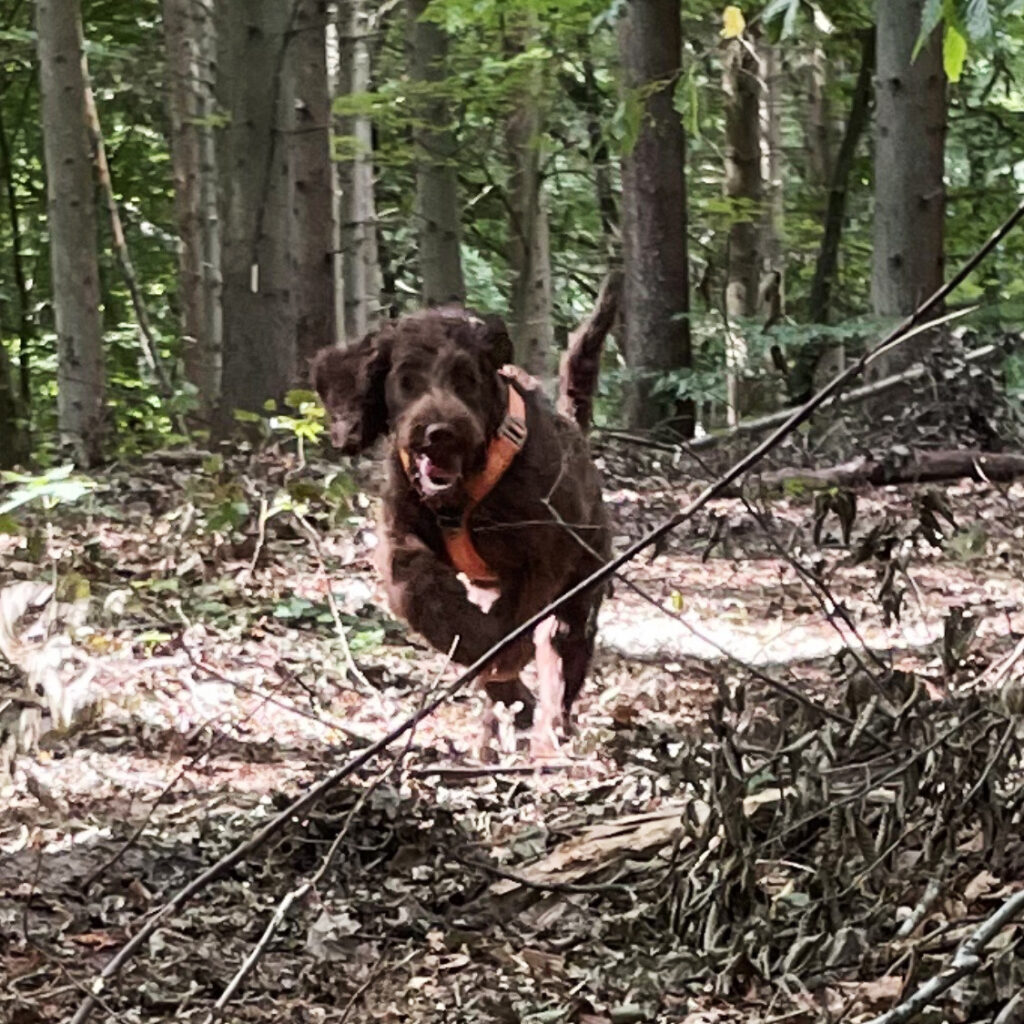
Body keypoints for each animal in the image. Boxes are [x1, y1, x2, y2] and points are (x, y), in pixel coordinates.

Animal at [311, 307, 606, 757]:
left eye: (466, 377)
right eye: (407, 379)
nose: (440, 433)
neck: (464, 494)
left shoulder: (539, 554)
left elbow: (518, 625)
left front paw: (503, 657)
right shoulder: (399, 534)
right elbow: (419, 590)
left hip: (583, 584)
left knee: (562, 653)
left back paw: (547, 729)